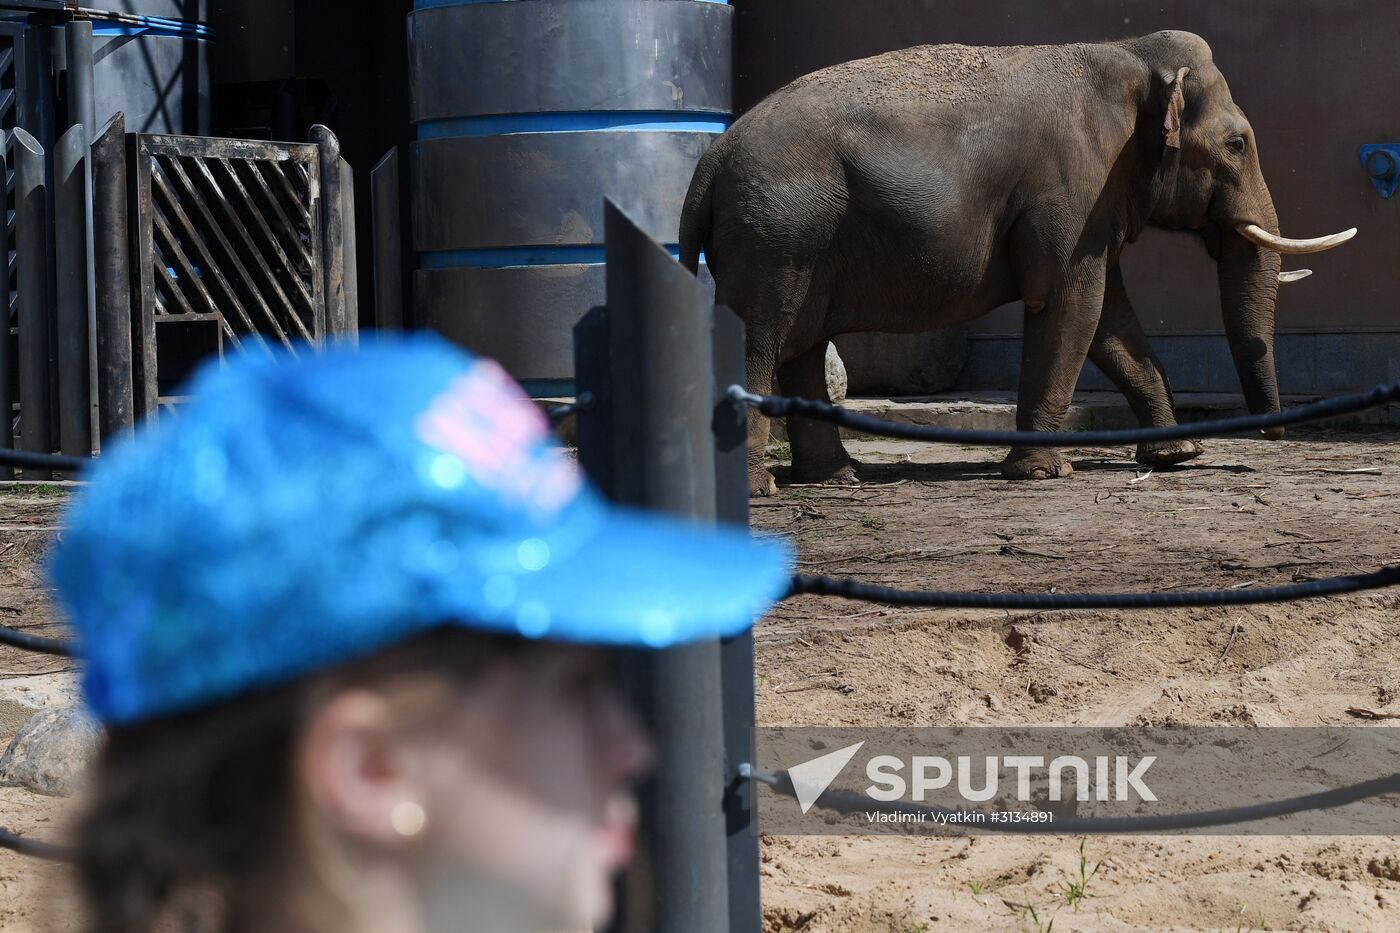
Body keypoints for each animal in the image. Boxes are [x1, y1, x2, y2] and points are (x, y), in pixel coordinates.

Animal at [678, 31, 1355, 496]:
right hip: (774, 238)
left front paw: (1175, 457)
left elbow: (1110, 319)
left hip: (791, 240)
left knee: (803, 345)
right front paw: (1044, 474)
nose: (1272, 432)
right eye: (1237, 144)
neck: (1129, 54)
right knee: (761, 340)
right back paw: (763, 490)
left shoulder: (1094, 204)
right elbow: (1073, 305)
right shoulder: (1070, 189)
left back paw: (837, 478)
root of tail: (709, 165)